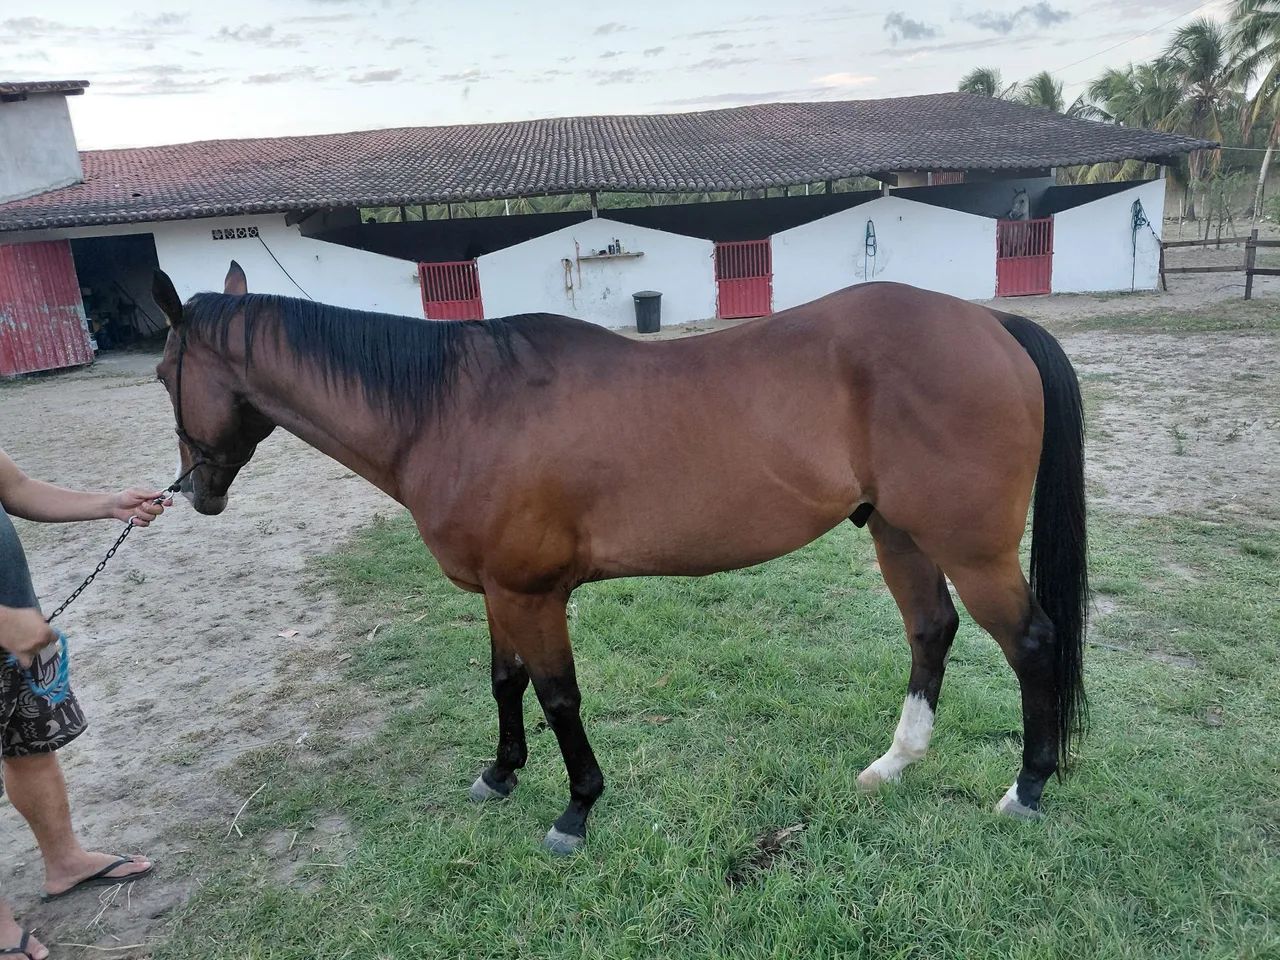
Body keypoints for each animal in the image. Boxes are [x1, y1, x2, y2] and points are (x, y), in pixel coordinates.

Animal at [151, 262, 1087, 855]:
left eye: (163, 373)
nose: (196, 491)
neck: (454, 409)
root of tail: (988, 322)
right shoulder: (499, 591)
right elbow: (506, 682)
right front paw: (500, 774)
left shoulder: (533, 594)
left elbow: (558, 696)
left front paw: (575, 811)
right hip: (898, 534)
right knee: (931, 631)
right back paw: (893, 766)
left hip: (972, 547)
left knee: (1031, 643)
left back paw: (1029, 789)